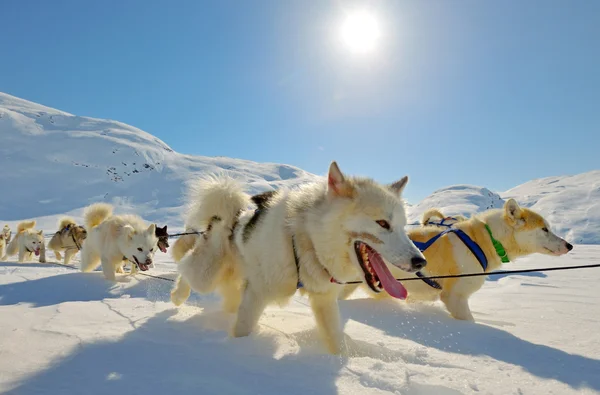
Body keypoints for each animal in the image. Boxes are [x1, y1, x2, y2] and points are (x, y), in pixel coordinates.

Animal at [170, 162, 426, 354]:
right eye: (382, 223)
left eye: (403, 226)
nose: (420, 261)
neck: (304, 240)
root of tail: (231, 211)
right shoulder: (256, 295)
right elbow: (243, 330)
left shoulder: (324, 300)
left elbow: (336, 341)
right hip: (206, 275)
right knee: (185, 268)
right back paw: (177, 295)